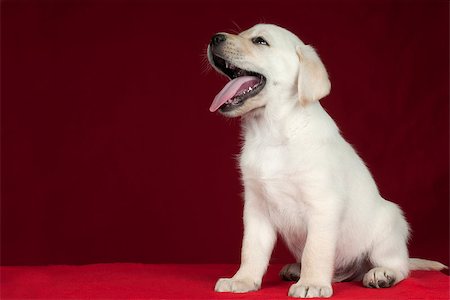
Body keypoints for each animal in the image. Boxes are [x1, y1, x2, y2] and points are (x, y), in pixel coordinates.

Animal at [207, 24, 446, 298]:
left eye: (260, 41)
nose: (214, 38)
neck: (271, 132)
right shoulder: (256, 208)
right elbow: (251, 250)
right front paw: (243, 280)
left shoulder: (323, 205)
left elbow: (315, 250)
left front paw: (311, 283)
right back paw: (297, 269)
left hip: (389, 227)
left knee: (400, 267)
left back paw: (381, 274)